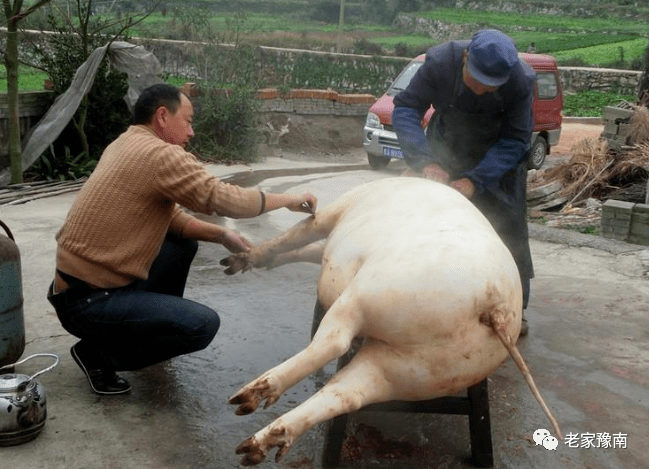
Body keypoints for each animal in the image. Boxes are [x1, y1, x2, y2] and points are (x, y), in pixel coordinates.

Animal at [220, 176, 560, 464]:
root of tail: (495, 305)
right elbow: (308, 249)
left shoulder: (336, 210)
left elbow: (299, 235)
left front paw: (237, 262)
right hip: (424, 370)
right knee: (346, 393)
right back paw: (253, 442)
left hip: (377, 290)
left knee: (334, 342)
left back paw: (250, 396)